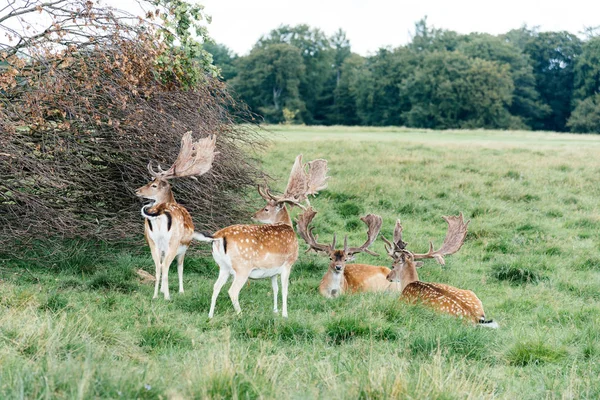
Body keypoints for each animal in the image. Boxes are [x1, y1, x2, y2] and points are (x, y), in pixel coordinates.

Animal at [136, 132, 218, 300]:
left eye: (153, 185)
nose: (137, 191)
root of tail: (160, 213)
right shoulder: (184, 247)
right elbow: (180, 268)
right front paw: (180, 291)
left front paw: (162, 290)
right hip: (173, 242)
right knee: (166, 266)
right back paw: (167, 297)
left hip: (151, 241)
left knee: (158, 266)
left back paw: (155, 296)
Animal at [196, 155, 328, 318]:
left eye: (266, 208)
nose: (253, 215)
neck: (287, 226)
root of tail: (218, 236)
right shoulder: (288, 263)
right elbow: (285, 290)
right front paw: (285, 314)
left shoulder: (273, 271)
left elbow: (275, 288)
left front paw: (275, 310)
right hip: (242, 267)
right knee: (232, 291)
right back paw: (241, 315)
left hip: (223, 266)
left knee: (215, 287)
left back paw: (210, 316)